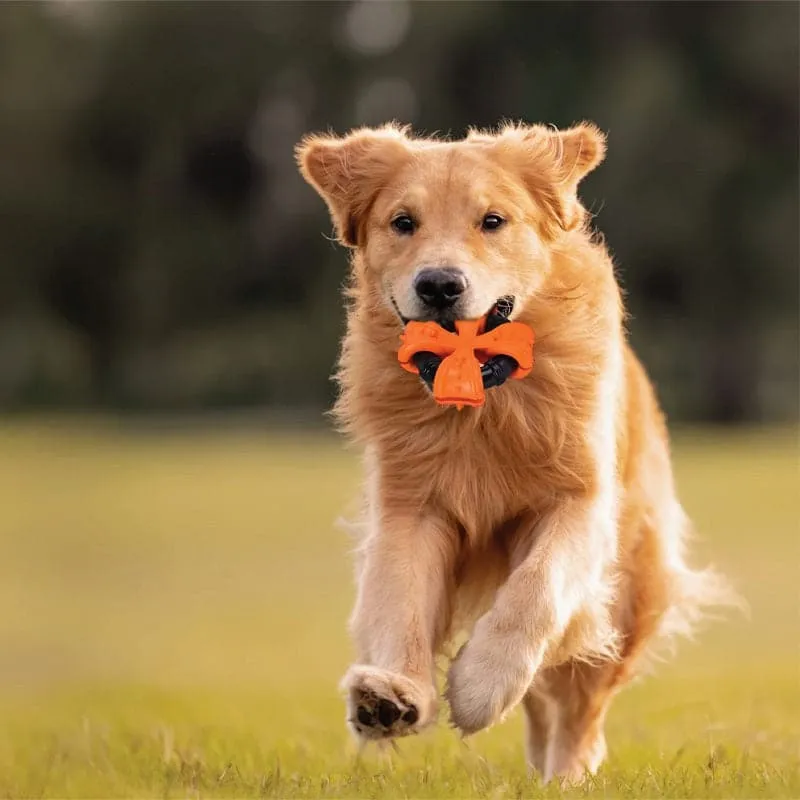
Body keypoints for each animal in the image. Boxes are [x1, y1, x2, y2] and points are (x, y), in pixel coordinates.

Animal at [294, 122, 732, 784]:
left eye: (493, 220)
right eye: (402, 222)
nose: (439, 285)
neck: (484, 401)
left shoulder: (580, 504)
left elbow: (537, 590)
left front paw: (480, 687)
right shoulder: (409, 506)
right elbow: (399, 601)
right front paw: (391, 694)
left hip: (631, 589)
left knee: (580, 708)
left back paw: (565, 778)